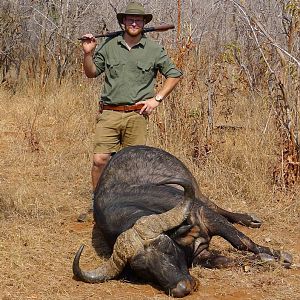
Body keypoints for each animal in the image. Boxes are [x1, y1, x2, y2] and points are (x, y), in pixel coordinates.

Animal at [73, 145, 292, 298]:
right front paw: (265, 260)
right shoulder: (200, 254)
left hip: (199, 193)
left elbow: (242, 242)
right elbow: (228, 261)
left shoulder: (205, 215)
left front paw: (280, 256)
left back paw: (249, 219)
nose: (181, 288)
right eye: (143, 269)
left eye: (168, 248)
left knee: (217, 207)